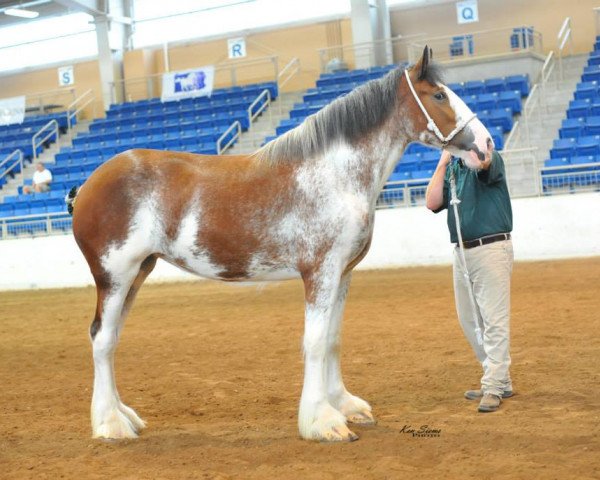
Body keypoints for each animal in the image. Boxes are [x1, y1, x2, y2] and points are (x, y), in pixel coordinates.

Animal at [69, 47, 492, 444]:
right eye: (439, 95)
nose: (486, 146)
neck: (334, 175)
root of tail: (87, 185)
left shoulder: (342, 274)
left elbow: (334, 338)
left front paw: (345, 405)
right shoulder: (319, 272)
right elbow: (316, 342)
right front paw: (323, 422)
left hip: (139, 272)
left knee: (111, 338)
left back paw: (124, 416)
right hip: (115, 276)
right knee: (102, 339)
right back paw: (110, 424)